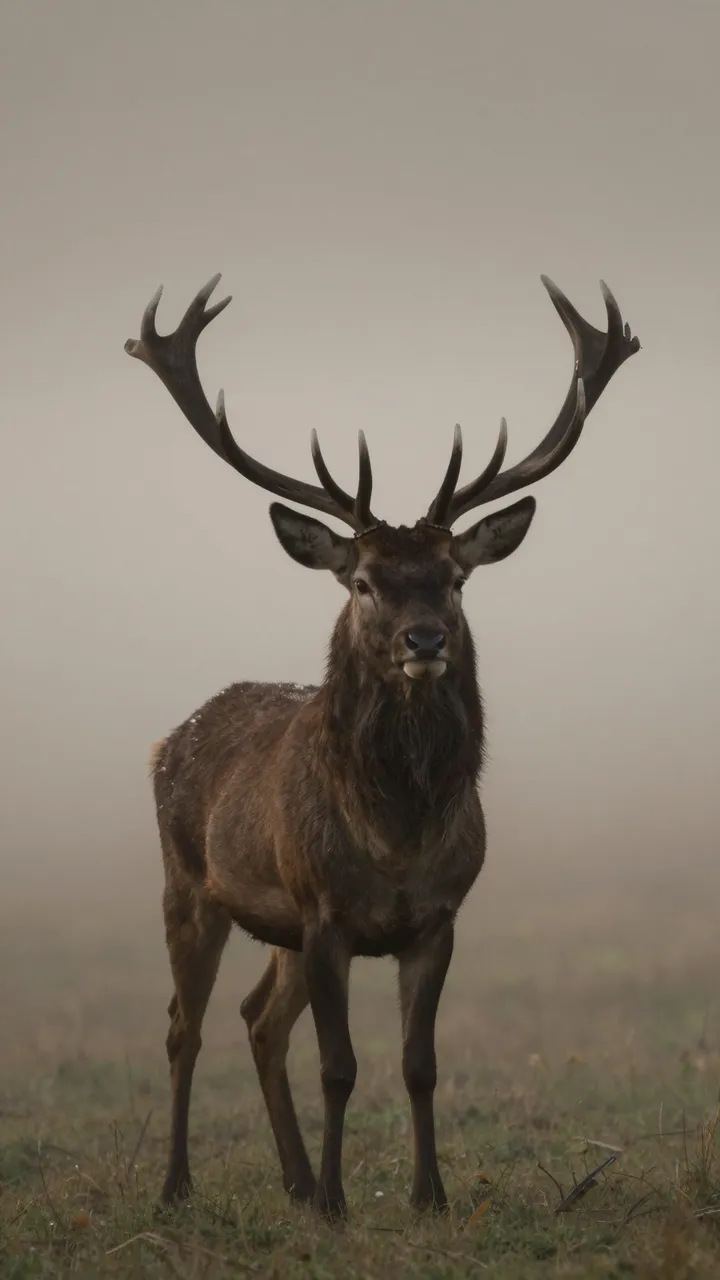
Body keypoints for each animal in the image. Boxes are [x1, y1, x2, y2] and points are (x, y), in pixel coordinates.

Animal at [124, 272, 639, 1220]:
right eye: (364, 582)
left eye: (456, 577)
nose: (424, 639)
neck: (396, 835)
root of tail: (167, 741)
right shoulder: (324, 910)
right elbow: (340, 1066)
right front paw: (337, 1202)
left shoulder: (434, 920)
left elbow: (417, 1064)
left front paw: (426, 1195)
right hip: (191, 886)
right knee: (186, 1025)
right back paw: (181, 1186)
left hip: (279, 929)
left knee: (258, 1018)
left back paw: (291, 1181)